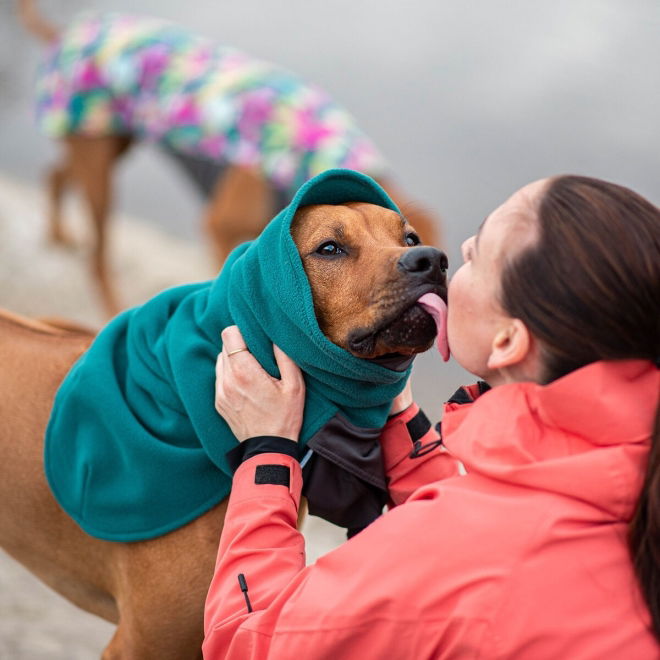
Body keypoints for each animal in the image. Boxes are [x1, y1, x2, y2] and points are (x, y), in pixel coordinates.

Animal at [18, 1, 440, 318]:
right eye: (333, 248)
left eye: (409, 239)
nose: (430, 264)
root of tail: (68, 32)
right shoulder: (219, 228)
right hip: (100, 167)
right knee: (97, 255)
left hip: (104, 144)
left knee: (55, 174)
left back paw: (58, 234)